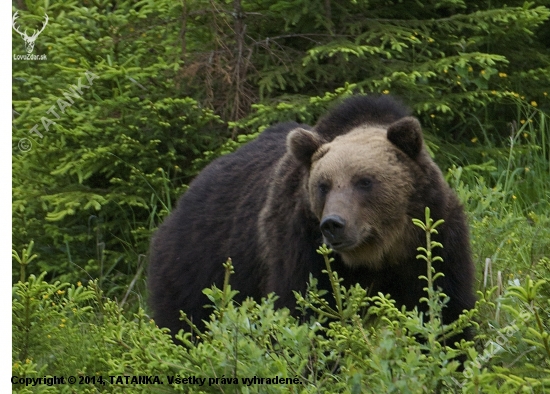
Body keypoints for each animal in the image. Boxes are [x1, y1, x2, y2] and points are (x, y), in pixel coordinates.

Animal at [149, 94, 476, 338]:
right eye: (323, 185)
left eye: (364, 181)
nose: (333, 224)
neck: (379, 254)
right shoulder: (302, 247)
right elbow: (306, 313)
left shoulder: (433, 241)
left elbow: (444, 308)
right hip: (199, 268)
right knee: (186, 321)